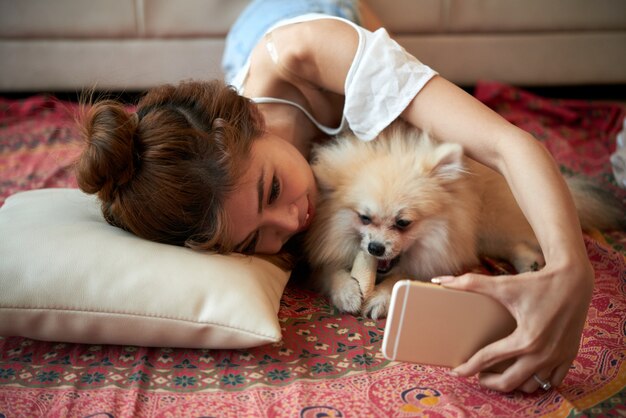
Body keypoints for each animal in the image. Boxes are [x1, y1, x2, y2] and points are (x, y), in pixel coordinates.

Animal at [302, 121, 620, 320]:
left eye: (403, 223)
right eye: (364, 218)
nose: (375, 248)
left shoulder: (439, 256)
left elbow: (401, 280)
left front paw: (380, 298)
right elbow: (331, 271)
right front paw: (347, 292)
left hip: (488, 225)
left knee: (518, 240)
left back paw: (528, 265)